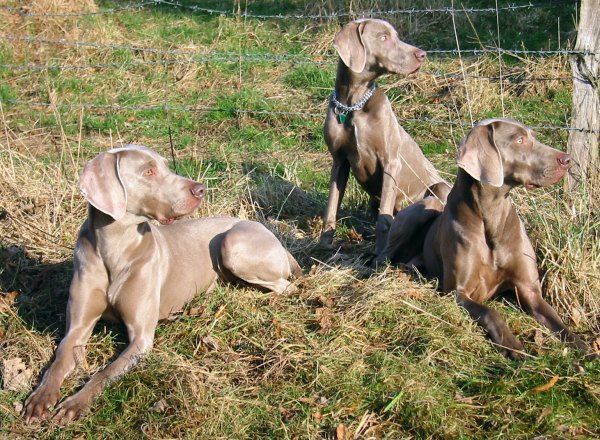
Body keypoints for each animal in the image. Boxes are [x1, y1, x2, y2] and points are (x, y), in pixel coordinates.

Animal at [22, 144, 300, 422]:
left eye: (165, 166)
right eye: (148, 171)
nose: (200, 189)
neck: (115, 246)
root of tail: (272, 235)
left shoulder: (141, 339)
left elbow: (105, 373)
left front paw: (75, 403)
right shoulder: (77, 329)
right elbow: (59, 359)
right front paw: (40, 398)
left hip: (233, 244)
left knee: (288, 287)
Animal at [378, 117, 596, 360]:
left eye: (533, 136)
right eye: (519, 140)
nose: (567, 159)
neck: (491, 215)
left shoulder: (529, 289)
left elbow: (559, 323)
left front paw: (585, 348)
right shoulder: (457, 292)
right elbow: (490, 312)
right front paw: (512, 344)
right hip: (422, 210)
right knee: (382, 255)